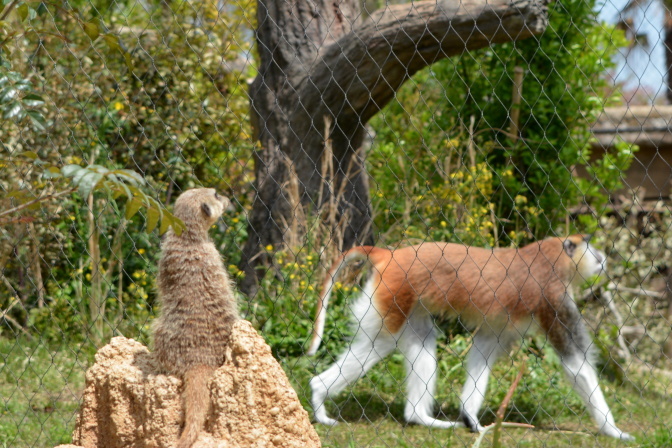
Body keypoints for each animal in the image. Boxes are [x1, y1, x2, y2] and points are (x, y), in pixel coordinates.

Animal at [308, 236, 632, 440]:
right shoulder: (552, 296)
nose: (602, 258)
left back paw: (420, 417)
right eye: (590, 245)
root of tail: (391, 254)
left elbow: (484, 349)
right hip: (392, 295)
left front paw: (470, 417)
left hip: (408, 299)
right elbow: (575, 362)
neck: (550, 256)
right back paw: (319, 393)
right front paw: (614, 431)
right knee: (380, 342)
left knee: (422, 341)